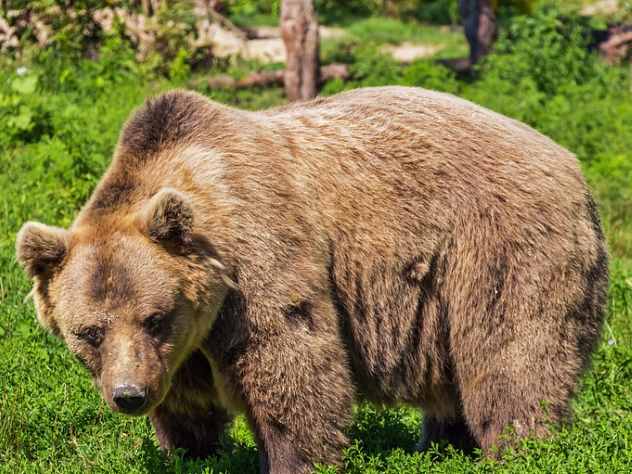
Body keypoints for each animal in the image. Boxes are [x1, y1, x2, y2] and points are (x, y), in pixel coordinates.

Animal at [14, 87, 608, 472]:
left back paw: (519, 446)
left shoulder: (258, 257)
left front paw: (293, 457)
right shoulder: (186, 340)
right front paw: (189, 449)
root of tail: (571, 163)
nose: (129, 395)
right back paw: (443, 444)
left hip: (500, 246)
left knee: (512, 355)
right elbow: (186, 399)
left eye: (154, 318)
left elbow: (290, 361)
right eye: (89, 332)